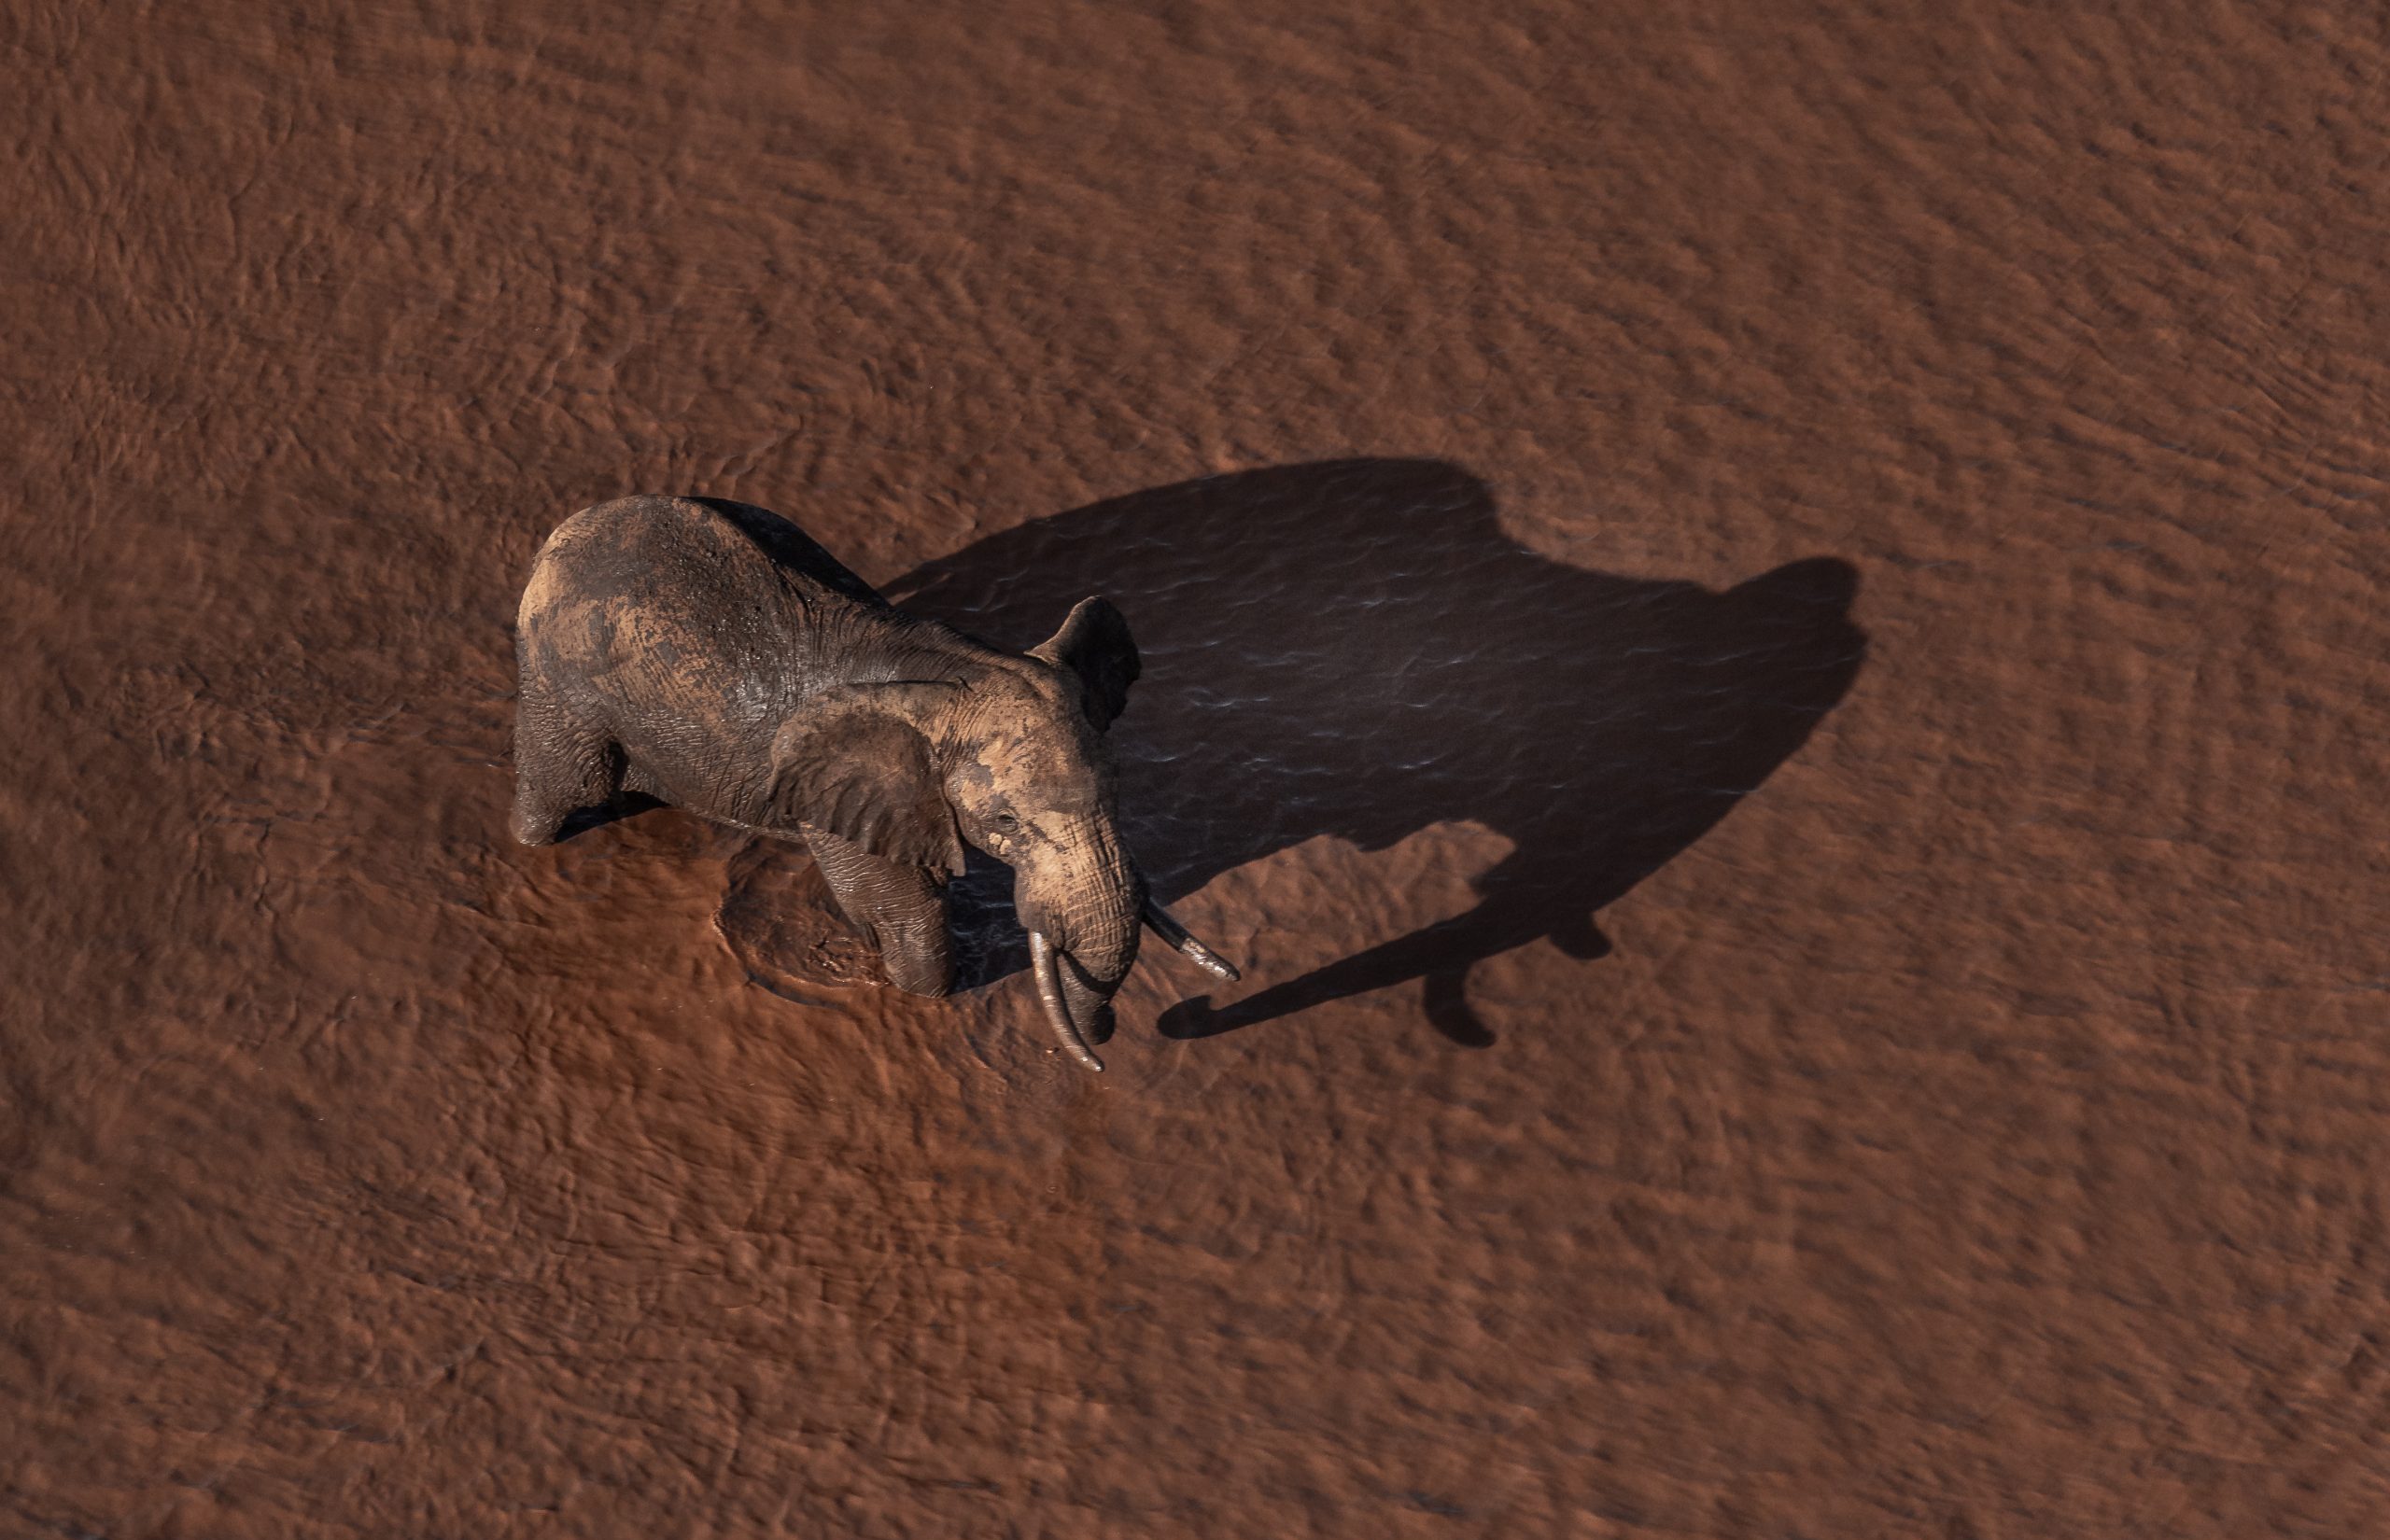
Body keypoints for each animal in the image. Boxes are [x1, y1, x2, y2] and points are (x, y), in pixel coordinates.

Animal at [509, 493, 1236, 1071]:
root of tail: (572, 525)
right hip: (559, 674)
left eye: (1116, 791)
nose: (1111, 1042)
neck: (956, 671)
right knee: (560, 790)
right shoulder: (846, 788)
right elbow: (904, 916)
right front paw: (921, 991)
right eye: (1005, 823)